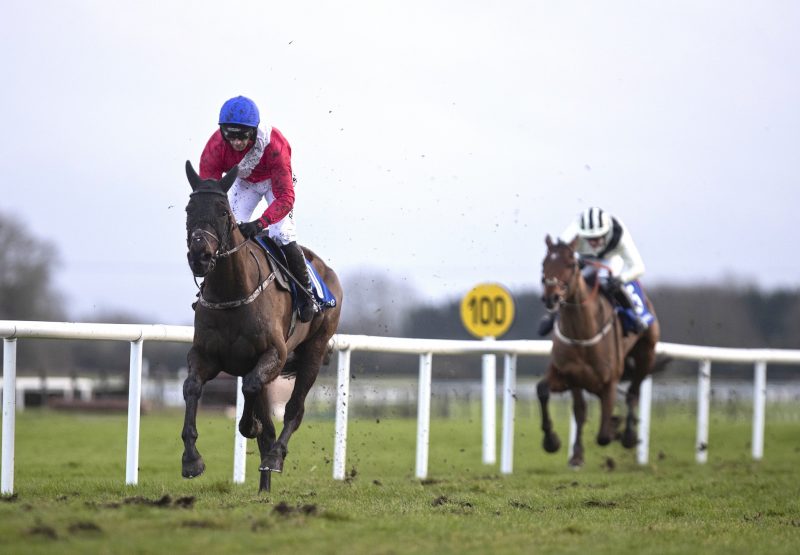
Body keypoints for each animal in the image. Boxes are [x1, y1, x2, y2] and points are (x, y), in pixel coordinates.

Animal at [183, 161, 342, 490]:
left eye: (223, 211)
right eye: (189, 209)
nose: (200, 256)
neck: (232, 293)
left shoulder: (274, 354)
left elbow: (254, 394)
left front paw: (250, 426)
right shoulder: (205, 355)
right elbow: (191, 386)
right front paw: (191, 459)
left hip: (315, 350)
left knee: (295, 409)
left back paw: (275, 456)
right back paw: (264, 485)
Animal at [536, 236, 664, 470]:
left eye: (571, 264)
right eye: (544, 263)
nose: (552, 298)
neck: (582, 334)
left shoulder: (609, 382)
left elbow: (603, 435)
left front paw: (615, 429)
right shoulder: (570, 376)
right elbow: (559, 400)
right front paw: (557, 445)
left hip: (646, 354)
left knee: (633, 393)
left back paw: (629, 435)